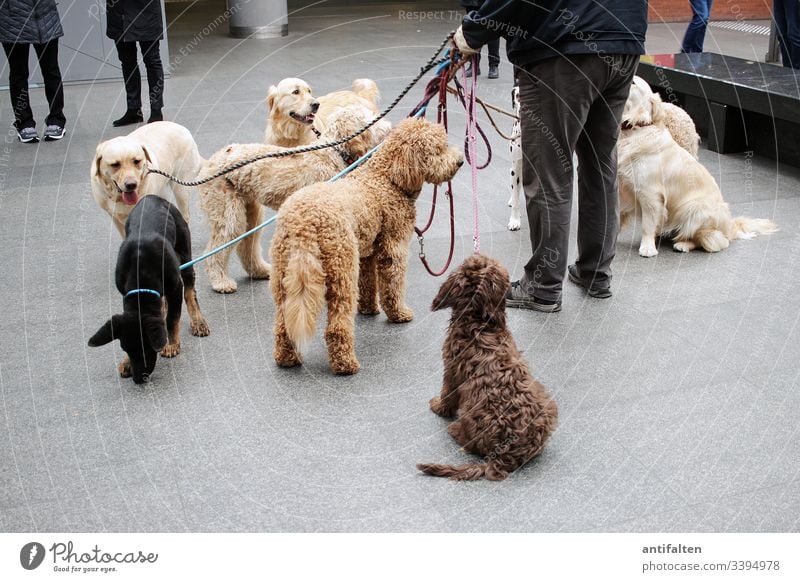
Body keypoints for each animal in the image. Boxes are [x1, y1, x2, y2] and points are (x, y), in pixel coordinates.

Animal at [87, 198, 209, 386]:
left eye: (147, 348)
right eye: (125, 348)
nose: (138, 379)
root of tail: (153, 197)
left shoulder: (175, 287)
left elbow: (172, 318)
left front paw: (171, 344)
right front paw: (126, 363)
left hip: (185, 253)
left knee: (190, 292)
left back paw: (198, 321)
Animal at [195, 108, 380, 294]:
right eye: (370, 119)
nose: (386, 127)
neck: (334, 152)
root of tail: (210, 162)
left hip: (250, 210)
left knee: (247, 244)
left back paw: (259, 270)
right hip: (226, 211)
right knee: (216, 249)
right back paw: (221, 281)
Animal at [268, 117, 462, 376]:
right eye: (438, 149)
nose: (460, 161)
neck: (387, 177)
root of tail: (304, 225)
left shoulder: (366, 252)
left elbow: (369, 282)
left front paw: (369, 309)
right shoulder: (393, 247)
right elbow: (392, 285)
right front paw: (398, 313)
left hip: (284, 274)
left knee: (283, 324)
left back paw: (287, 358)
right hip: (341, 271)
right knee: (337, 325)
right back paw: (346, 364)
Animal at [416, 256, 560, 484]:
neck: (479, 324)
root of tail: (503, 456)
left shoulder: (451, 371)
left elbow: (447, 395)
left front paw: (438, 406)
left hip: (471, 413)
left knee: (469, 442)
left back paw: (455, 429)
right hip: (549, 405)